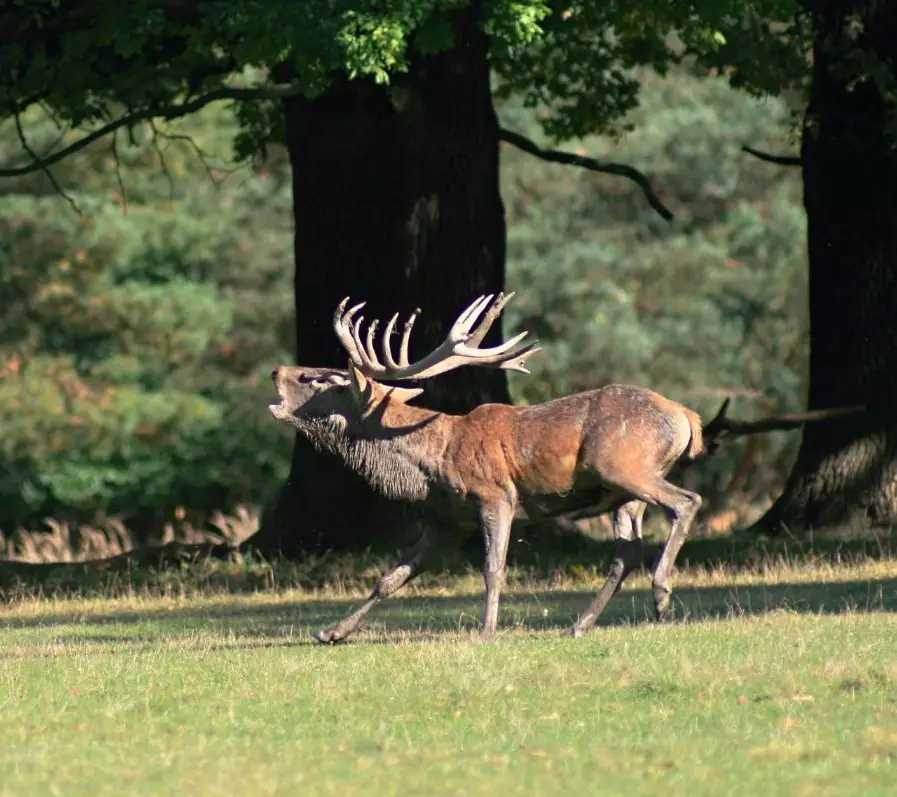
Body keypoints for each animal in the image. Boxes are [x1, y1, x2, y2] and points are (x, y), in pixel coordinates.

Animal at [269, 291, 710, 644]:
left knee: (686, 501)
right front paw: (332, 631)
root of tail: (687, 417)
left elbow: (493, 567)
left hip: (621, 465)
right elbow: (391, 576)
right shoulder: (445, 520)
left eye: (323, 379)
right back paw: (579, 625)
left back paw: (660, 593)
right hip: (622, 493)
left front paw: (485, 632)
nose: (276, 370)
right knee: (626, 550)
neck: (430, 463)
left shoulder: (494, 494)